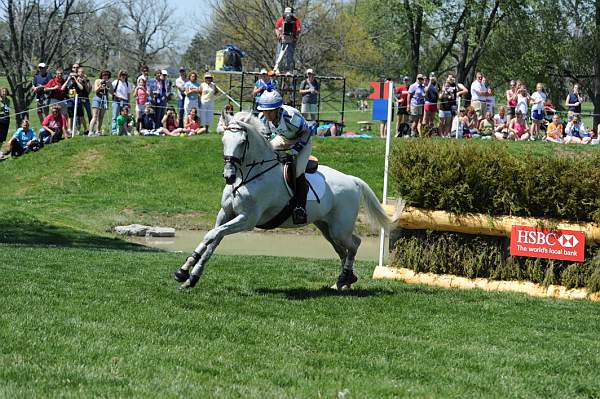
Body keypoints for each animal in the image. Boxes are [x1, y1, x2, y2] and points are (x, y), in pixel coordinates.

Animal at [173, 111, 390, 290]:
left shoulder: (247, 219)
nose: (228, 176)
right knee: (343, 249)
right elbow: (213, 240)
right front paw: (188, 274)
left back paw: (345, 278)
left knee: (353, 245)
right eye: (223, 141)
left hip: (339, 228)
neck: (247, 176)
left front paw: (186, 272)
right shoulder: (226, 213)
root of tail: (352, 180)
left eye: (242, 142)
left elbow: (211, 235)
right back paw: (345, 281)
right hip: (326, 227)